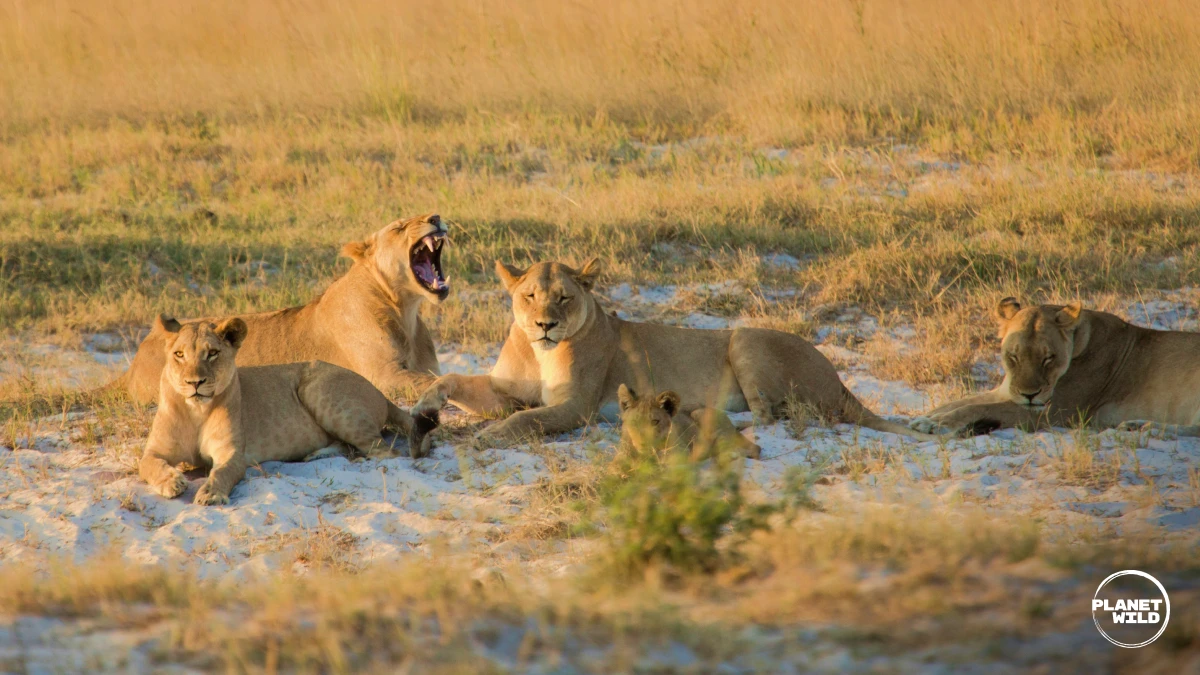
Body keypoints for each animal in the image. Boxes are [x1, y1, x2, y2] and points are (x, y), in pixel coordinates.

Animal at [138, 317, 428, 506]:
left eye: (212, 354)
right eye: (179, 354)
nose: (194, 382)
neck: (196, 411)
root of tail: (379, 392)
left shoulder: (232, 454)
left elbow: (221, 472)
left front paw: (210, 494)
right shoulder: (155, 450)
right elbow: (149, 465)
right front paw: (172, 482)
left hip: (318, 390)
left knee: (386, 452)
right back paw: (314, 455)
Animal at [410, 257, 935, 447]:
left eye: (565, 298)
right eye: (530, 296)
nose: (545, 325)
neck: (540, 353)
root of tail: (840, 379)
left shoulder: (575, 407)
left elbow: (525, 419)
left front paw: (485, 437)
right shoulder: (505, 389)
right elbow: (453, 381)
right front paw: (424, 405)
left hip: (744, 338)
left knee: (771, 417)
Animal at [617, 384, 762, 460]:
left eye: (655, 422)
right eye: (634, 422)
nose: (643, 442)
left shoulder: (680, 452)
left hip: (702, 416)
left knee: (751, 449)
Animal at [911, 297, 1200, 437]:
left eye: (1048, 358)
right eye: (1013, 356)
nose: (1029, 395)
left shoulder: (1054, 413)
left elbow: (977, 408)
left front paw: (935, 424)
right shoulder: (1005, 392)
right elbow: (958, 402)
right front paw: (925, 418)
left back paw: (1145, 427)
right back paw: (1134, 425)